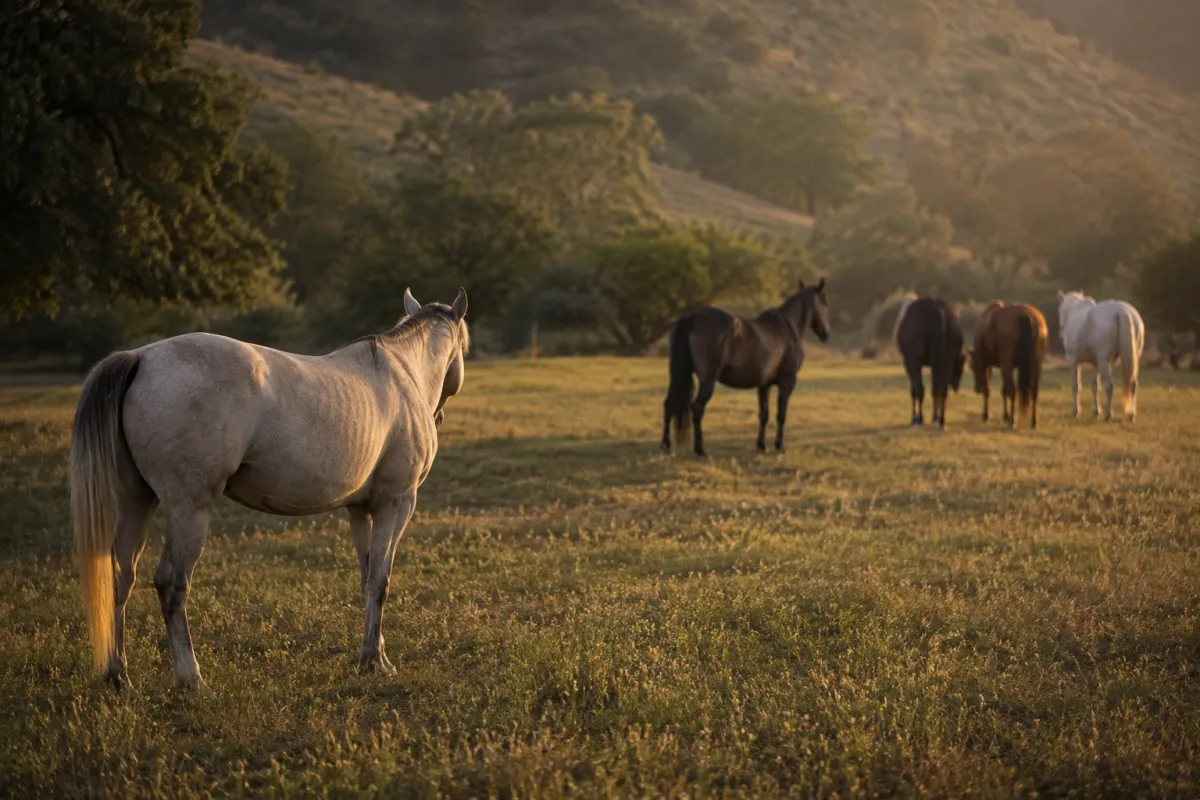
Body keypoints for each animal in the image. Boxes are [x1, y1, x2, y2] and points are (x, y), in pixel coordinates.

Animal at [71, 288, 469, 692]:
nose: (438, 416)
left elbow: (367, 579)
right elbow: (380, 582)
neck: (400, 375)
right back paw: (191, 678)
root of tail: (141, 358)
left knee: (120, 577)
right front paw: (375, 662)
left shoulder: (360, 510)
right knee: (171, 583)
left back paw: (117, 675)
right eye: (464, 347)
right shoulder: (396, 503)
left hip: (136, 502)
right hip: (188, 509)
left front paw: (372, 654)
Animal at [661, 278, 830, 457]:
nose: (826, 333)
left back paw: (666, 446)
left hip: (679, 376)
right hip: (707, 381)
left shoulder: (764, 386)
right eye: (825, 303)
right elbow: (781, 414)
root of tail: (691, 318)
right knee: (697, 408)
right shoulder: (787, 382)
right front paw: (779, 446)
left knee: (669, 405)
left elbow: (764, 414)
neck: (788, 329)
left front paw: (761, 446)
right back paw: (700, 450)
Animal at [895, 297, 965, 429]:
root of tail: (938, 310)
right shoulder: (938, 364)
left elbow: (915, 390)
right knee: (942, 389)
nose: (956, 387)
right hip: (945, 361)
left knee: (920, 389)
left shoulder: (910, 363)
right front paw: (935, 417)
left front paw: (915, 419)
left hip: (915, 362)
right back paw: (941, 420)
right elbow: (935, 388)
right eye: (960, 367)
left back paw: (919, 420)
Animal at [969, 301, 1049, 429]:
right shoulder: (1004, 366)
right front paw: (1005, 415)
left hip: (1008, 364)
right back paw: (1034, 422)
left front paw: (986, 416)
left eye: (972, 366)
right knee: (1034, 391)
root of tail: (1026, 316)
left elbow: (989, 389)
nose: (977, 389)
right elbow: (1003, 390)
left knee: (1012, 391)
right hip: (1037, 364)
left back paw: (1012, 421)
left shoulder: (989, 364)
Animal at [1057, 290, 1145, 421]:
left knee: (1109, 386)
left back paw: (1108, 414)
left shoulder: (1073, 360)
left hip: (1103, 361)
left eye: (1059, 310)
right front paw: (1096, 411)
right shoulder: (1095, 363)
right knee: (1133, 385)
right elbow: (1095, 387)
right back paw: (1131, 414)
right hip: (1131, 360)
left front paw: (1075, 411)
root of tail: (1122, 311)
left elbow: (1076, 386)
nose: (1061, 333)